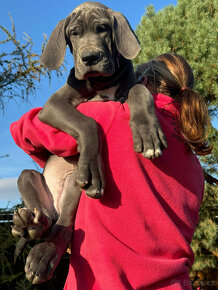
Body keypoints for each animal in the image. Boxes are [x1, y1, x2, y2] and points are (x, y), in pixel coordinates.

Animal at [11, 1, 167, 284]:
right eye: (74, 33)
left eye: (103, 28)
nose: (90, 58)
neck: (101, 82)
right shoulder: (53, 105)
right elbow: (88, 123)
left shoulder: (127, 90)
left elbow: (141, 90)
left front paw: (148, 132)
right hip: (28, 177)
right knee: (51, 219)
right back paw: (34, 230)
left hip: (75, 185)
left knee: (61, 226)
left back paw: (41, 246)